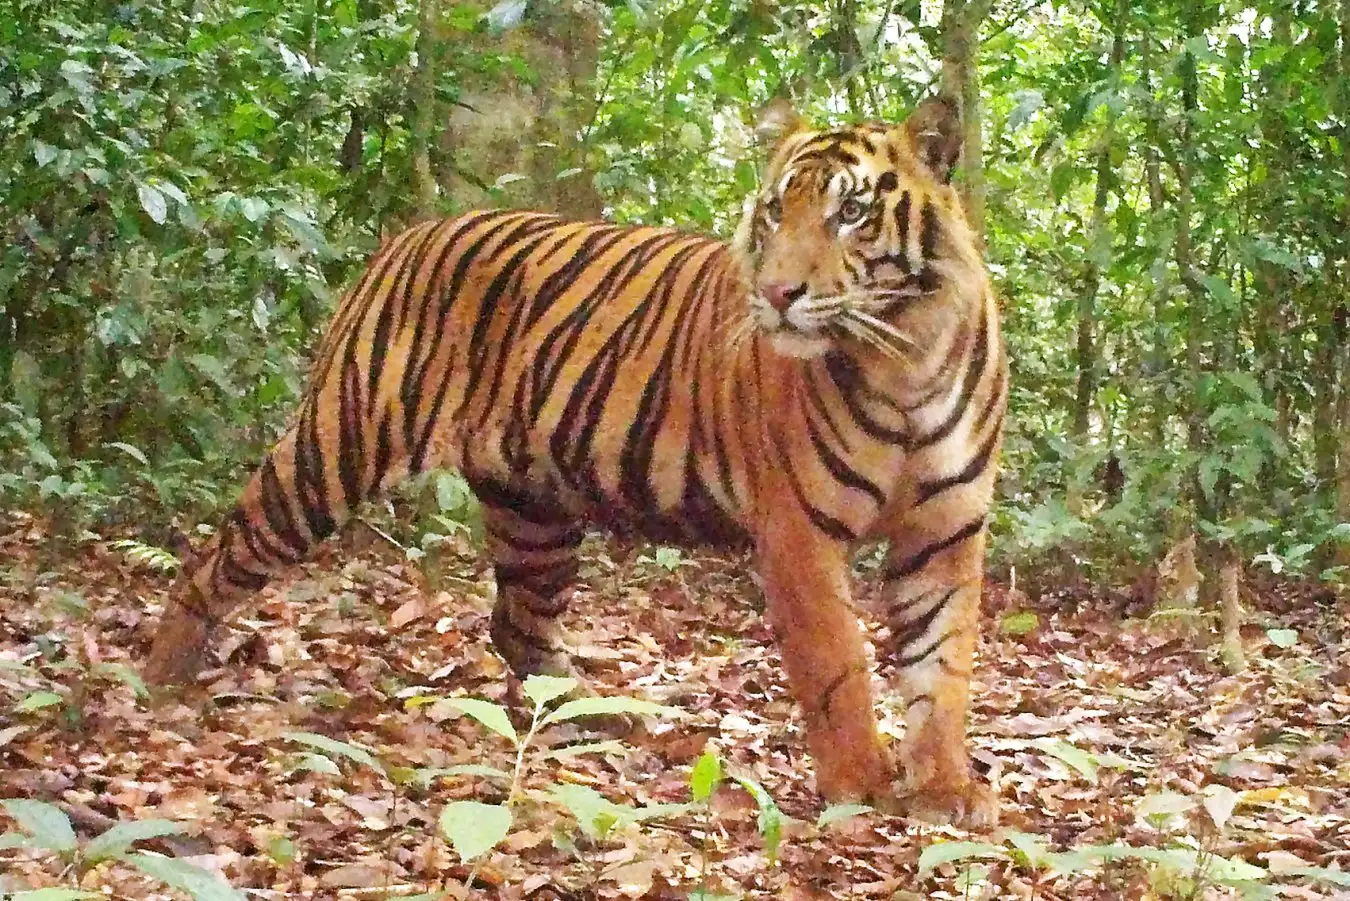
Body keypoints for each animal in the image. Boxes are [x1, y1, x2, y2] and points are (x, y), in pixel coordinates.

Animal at [144, 96, 1007, 827]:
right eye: (774, 211)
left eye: (850, 212)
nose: (776, 293)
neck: (905, 357)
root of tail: (411, 233)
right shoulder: (800, 532)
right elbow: (840, 665)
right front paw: (861, 784)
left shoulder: (945, 534)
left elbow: (941, 669)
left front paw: (947, 789)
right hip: (338, 449)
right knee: (219, 554)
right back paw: (159, 678)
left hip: (536, 510)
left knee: (516, 621)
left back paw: (590, 718)